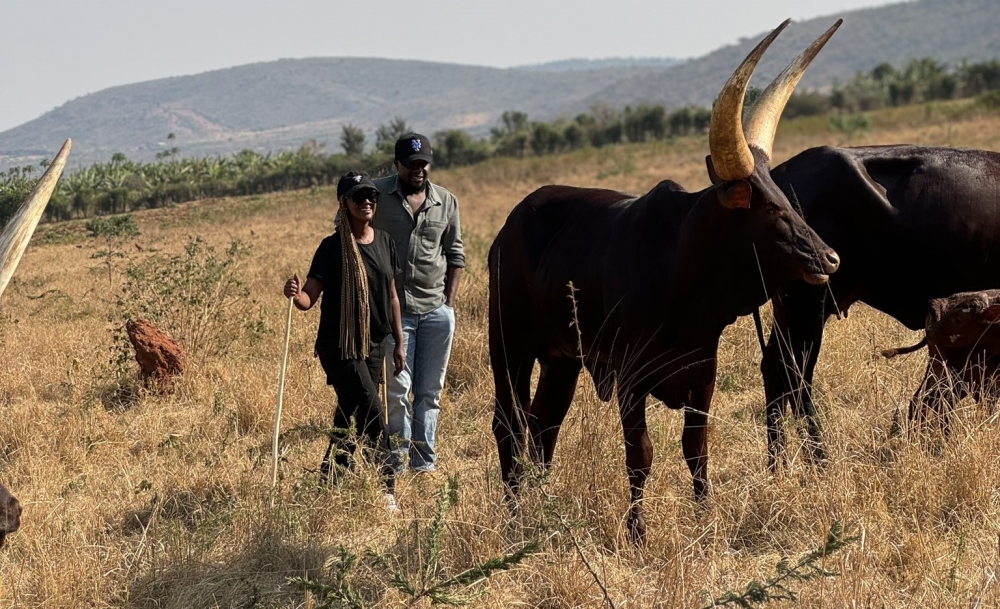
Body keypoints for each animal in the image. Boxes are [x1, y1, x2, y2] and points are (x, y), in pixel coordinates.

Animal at [488, 21, 842, 544]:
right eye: (770, 211)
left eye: (786, 199)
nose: (830, 258)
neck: (680, 269)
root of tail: (509, 225)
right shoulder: (631, 378)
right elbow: (641, 456)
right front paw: (638, 534)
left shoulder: (702, 376)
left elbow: (697, 449)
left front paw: (706, 517)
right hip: (509, 347)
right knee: (509, 425)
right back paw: (515, 521)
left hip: (562, 362)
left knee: (542, 427)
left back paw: (541, 509)